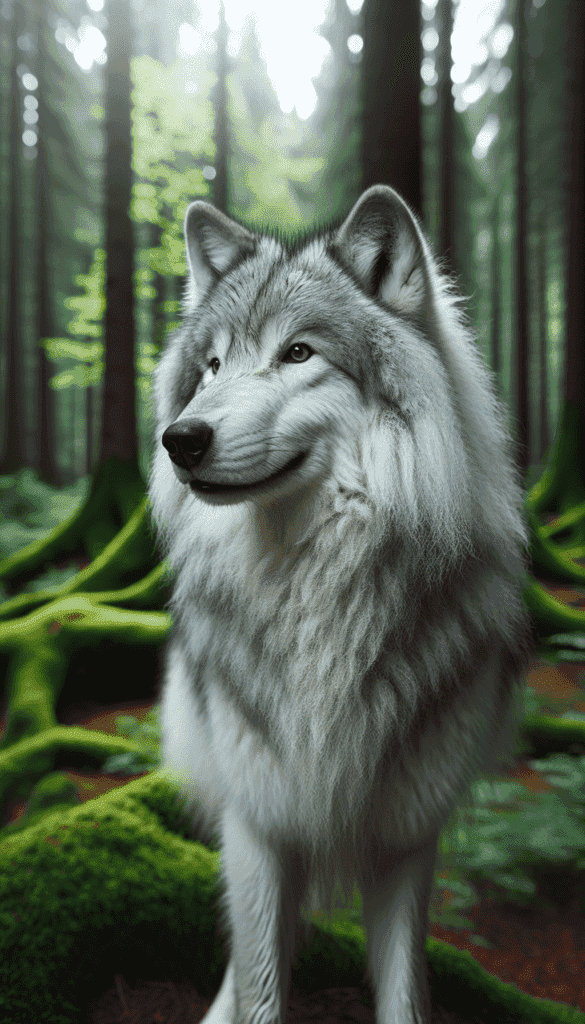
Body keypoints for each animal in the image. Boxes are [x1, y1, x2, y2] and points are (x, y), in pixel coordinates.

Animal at [149, 185, 531, 1024]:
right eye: (212, 365)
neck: (316, 587)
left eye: (298, 353)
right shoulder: (258, 823)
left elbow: (403, 994)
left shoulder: (408, 833)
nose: (179, 438)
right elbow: (261, 987)